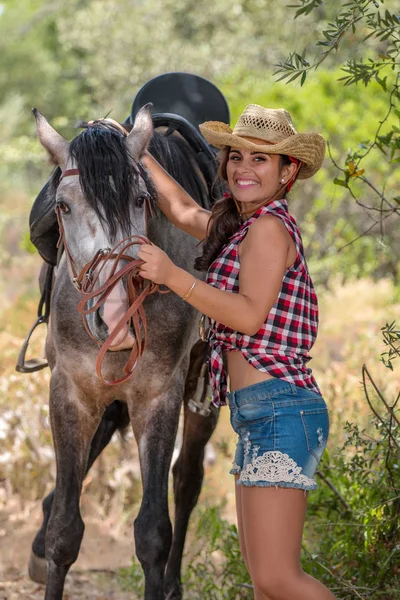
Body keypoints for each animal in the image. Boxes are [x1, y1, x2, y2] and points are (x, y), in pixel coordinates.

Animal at [28, 106, 219, 600]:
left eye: (140, 200)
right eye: (62, 206)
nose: (114, 317)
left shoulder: (157, 398)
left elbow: (153, 532)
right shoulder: (71, 393)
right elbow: (64, 530)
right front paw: (47, 539)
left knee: (187, 479)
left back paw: (172, 583)